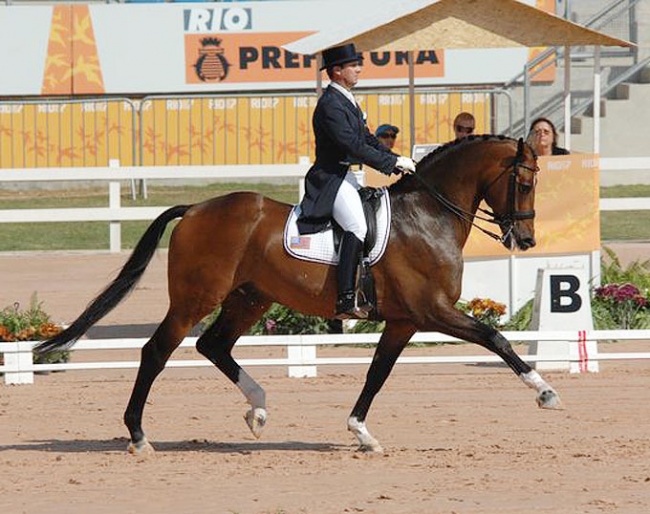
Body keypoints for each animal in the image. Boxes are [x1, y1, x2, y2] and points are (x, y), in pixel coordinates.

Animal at [36, 135, 560, 452]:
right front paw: (545, 392)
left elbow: (377, 374)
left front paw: (361, 433)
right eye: (524, 181)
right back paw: (139, 434)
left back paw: (258, 409)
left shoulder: (404, 321)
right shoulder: (433, 311)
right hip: (195, 300)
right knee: (157, 351)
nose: (526, 240)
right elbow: (496, 339)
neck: (428, 216)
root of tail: (196, 208)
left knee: (213, 346)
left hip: (249, 299)